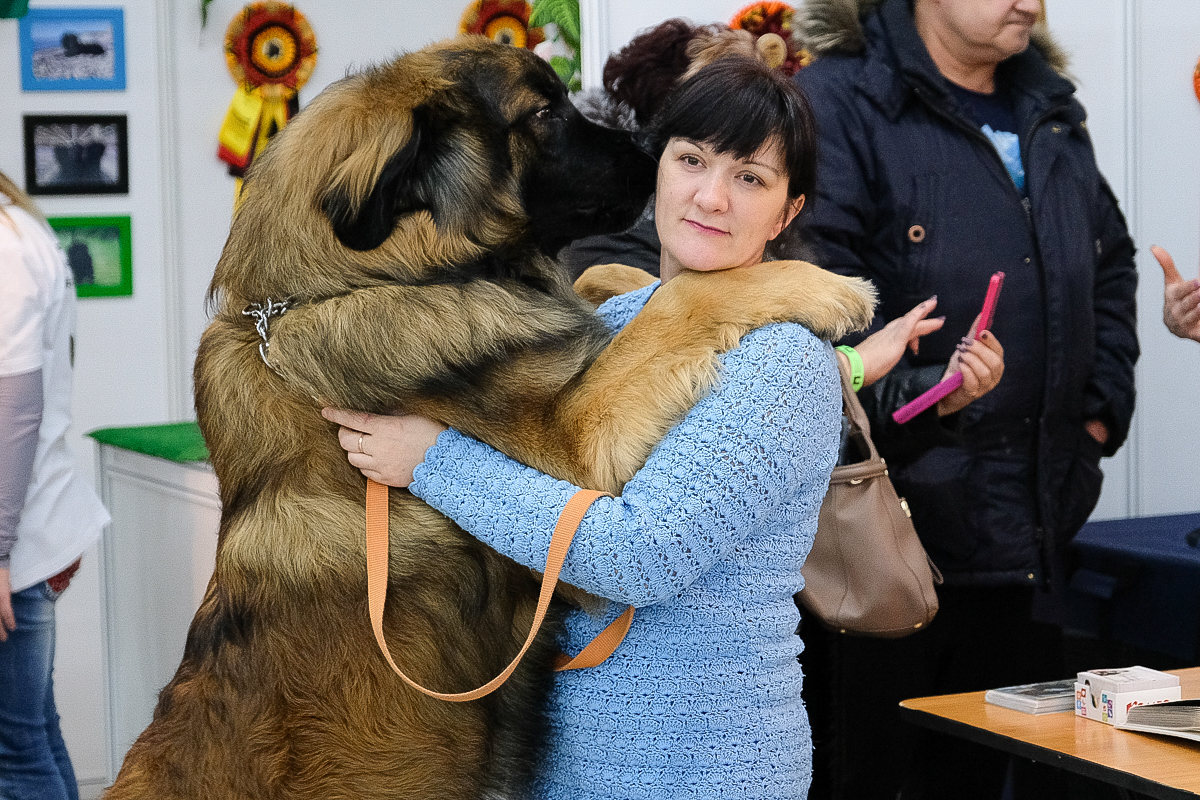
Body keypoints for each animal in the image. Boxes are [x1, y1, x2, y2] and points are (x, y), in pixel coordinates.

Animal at [105, 37, 873, 800]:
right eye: (542, 113)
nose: (656, 145)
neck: (353, 281)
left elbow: (627, 288)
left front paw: (632, 282)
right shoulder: (574, 452)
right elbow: (687, 300)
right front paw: (824, 285)